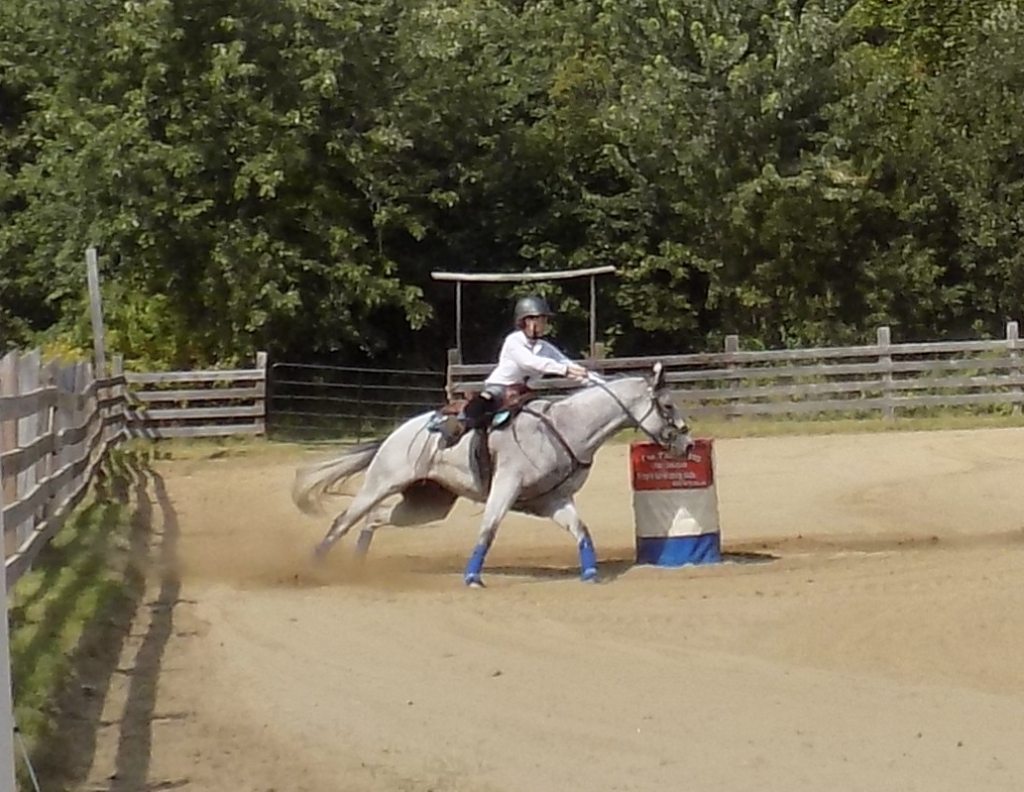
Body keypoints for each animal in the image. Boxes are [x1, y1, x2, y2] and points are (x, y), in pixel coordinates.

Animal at [292, 362, 692, 587]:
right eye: (667, 405)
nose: (687, 445)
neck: (565, 426)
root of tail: (397, 433)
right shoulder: (506, 486)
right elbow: (489, 529)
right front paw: (472, 577)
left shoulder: (554, 499)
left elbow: (581, 531)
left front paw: (591, 573)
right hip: (381, 482)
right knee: (344, 520)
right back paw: (315, 566)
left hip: (427, 504)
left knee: (374, 519)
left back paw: (358, 564)